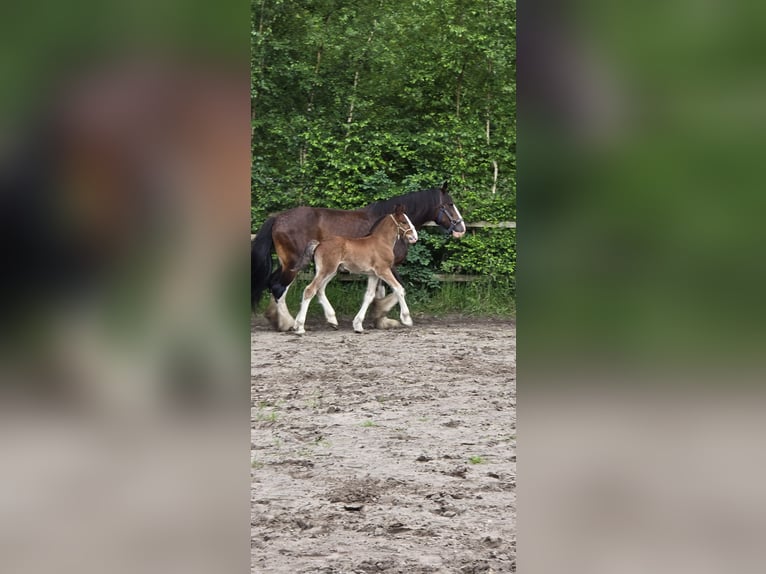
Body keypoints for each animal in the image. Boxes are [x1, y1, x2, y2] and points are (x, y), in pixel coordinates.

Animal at [254, 180, 468, 332]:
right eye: (450, 204)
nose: (461, 229)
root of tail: (277, 218)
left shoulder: (377, 269)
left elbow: (377, 293)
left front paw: (379, 319)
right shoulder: (388, 267)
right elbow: (397, 290)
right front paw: (389, 316)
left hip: (293, 264)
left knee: (278, 284)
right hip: (294, 264)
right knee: (279, 287)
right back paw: (289, 323)